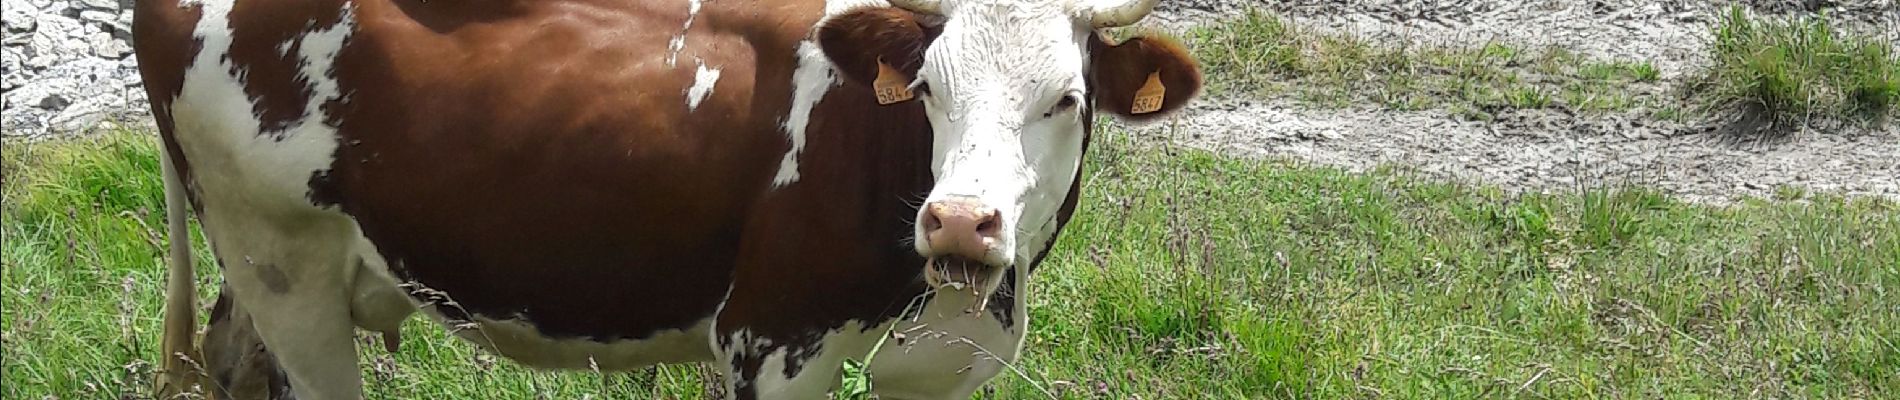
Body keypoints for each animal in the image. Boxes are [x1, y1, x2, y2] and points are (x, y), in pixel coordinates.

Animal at [137, 0, 1200, 396]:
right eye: (929, 87)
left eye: (1067, 99)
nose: (959, 222)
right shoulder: (771, 343)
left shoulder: (949, 364)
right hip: (285, 264)